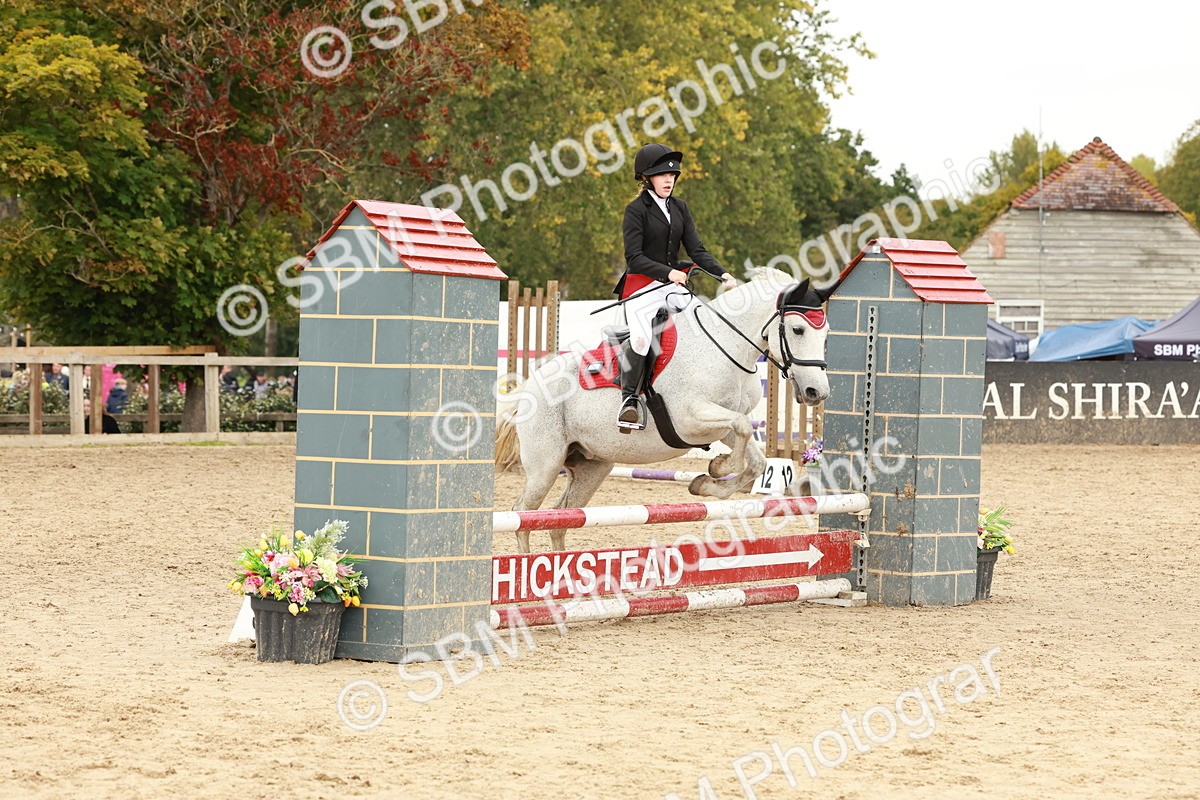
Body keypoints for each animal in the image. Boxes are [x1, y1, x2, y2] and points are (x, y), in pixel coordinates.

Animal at [498, 268, 836, 553]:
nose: (817, 392)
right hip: (545, 465)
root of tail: (530, 386)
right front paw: (718, 467)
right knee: (522, 515)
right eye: (797, 329)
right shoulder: (689, 418)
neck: (725, 346)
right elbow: (741, 427)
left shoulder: (719, 425)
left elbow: (755, 460)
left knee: (561, 518)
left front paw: (706, 481)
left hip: (591, 466)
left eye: (826, 333)